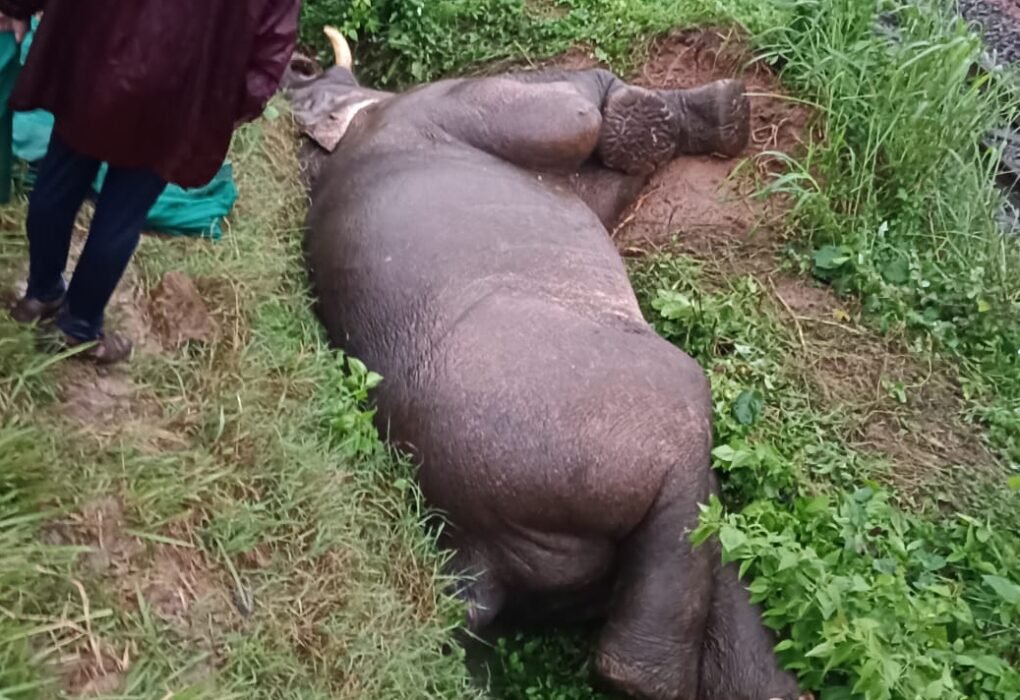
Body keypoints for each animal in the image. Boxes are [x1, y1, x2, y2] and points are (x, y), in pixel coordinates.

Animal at [282, 26, 809, 700]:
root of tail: (477, 552)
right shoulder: (473, 104)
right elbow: (584, 115)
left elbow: (616, 174)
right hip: (666, 414)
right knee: (649, 637)